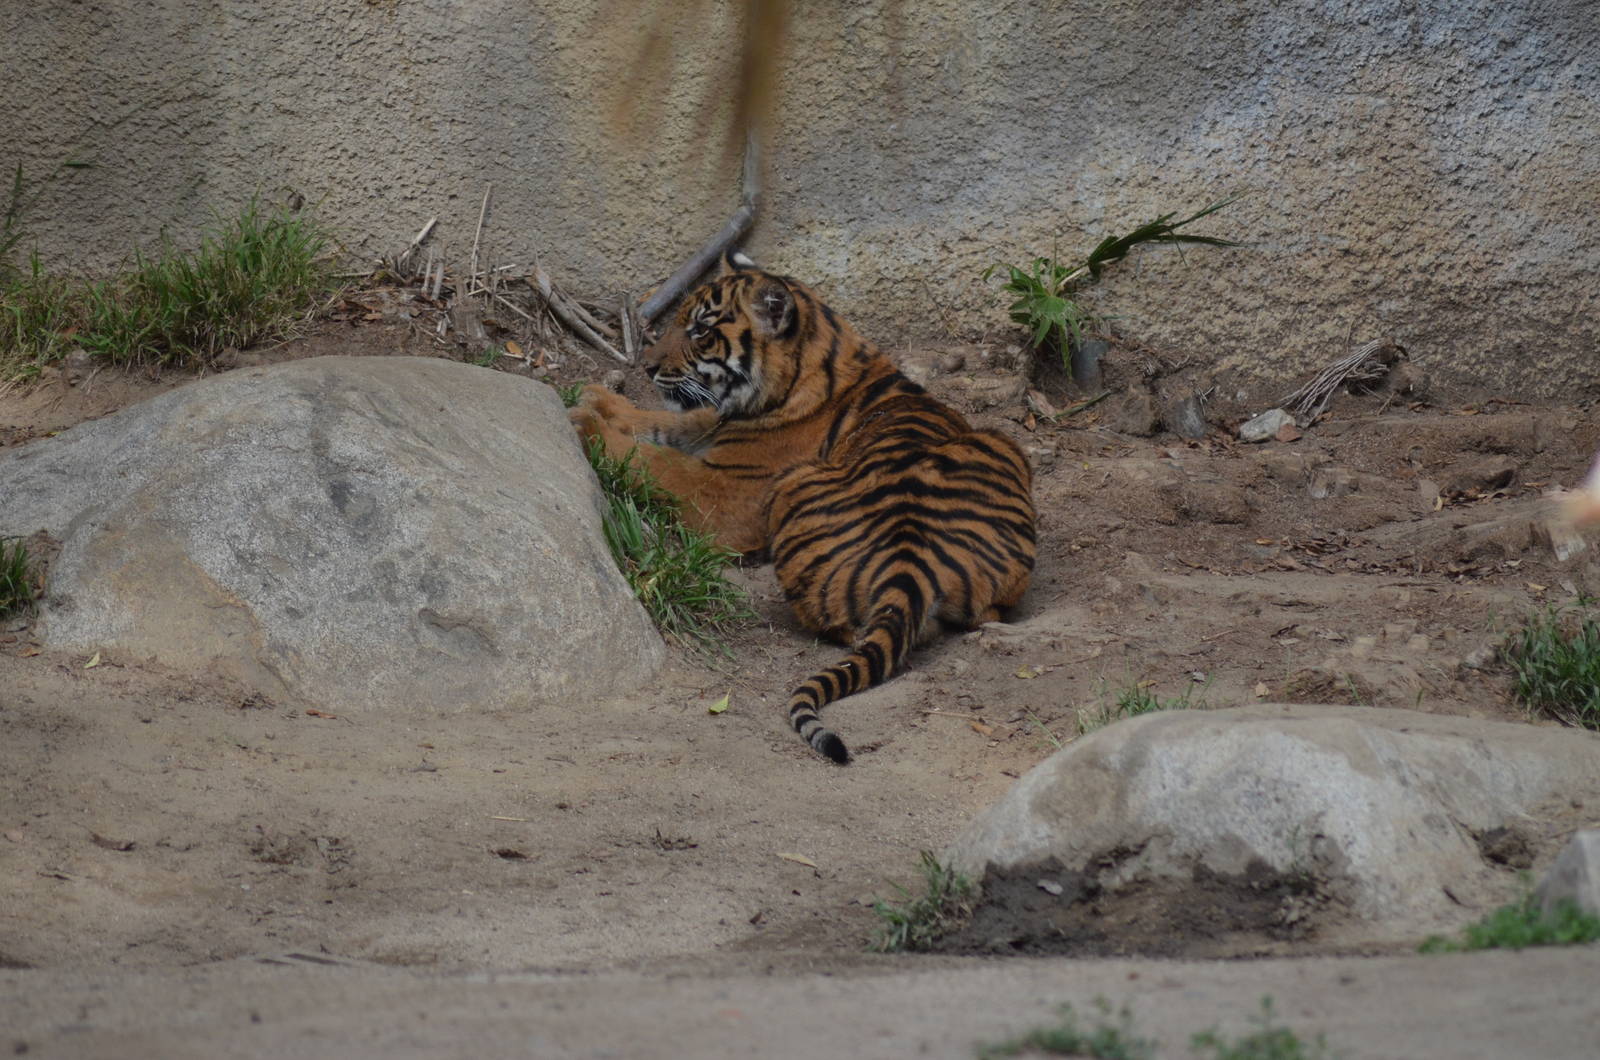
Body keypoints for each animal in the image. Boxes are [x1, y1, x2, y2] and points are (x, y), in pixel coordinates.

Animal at [569, 252, 1036, 763]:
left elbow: (654, 460)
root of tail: (910, 564)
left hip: (796, 485)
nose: (648, 367)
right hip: (1001, 445)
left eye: (701, 330)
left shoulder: (724, 490)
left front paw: (586, 421)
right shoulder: (712, 424)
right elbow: (668, 423)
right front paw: (597, 397)